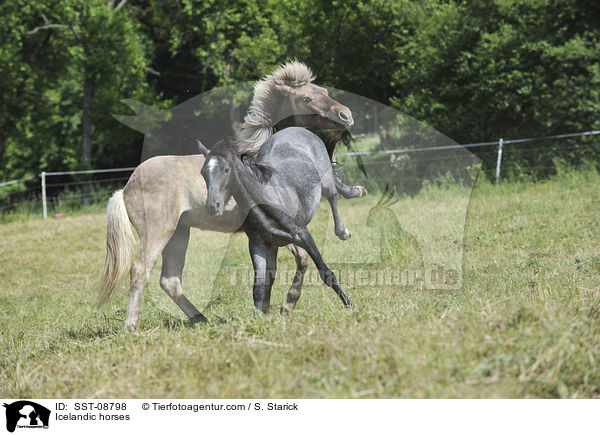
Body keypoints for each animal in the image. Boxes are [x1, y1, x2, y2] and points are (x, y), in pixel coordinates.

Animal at [199, 127, 354, 316]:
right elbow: (260, 286)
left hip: (325, 182)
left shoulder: (303, 235)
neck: (267, 201)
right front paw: (260, 316)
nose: (212, 206)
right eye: (203, 172)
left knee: (334, 195)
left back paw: (343, 230)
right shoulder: (259, 244)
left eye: (226, 170)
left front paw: (349, 303)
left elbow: (326, 273)